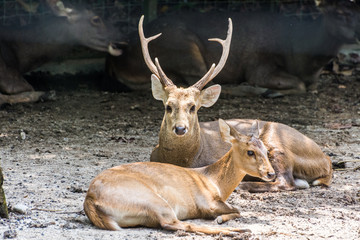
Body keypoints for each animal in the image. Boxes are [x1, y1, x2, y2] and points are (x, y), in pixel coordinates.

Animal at [83, 119, 276, 235]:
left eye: (266, 150)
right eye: (250, 151)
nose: (271, 173)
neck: (213, 181)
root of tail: (90, 199)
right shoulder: (207, 203)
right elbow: (237, 209)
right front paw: (221, 220)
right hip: (154, 200)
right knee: (174, 223)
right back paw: (239, 230)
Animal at [137, 14, 332, 191]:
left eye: (193, 107)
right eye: (168, 106)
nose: (180, 128)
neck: (183, 159)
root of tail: (326, 161)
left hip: (278, 145)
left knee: (284, 181)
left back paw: (243, 185)